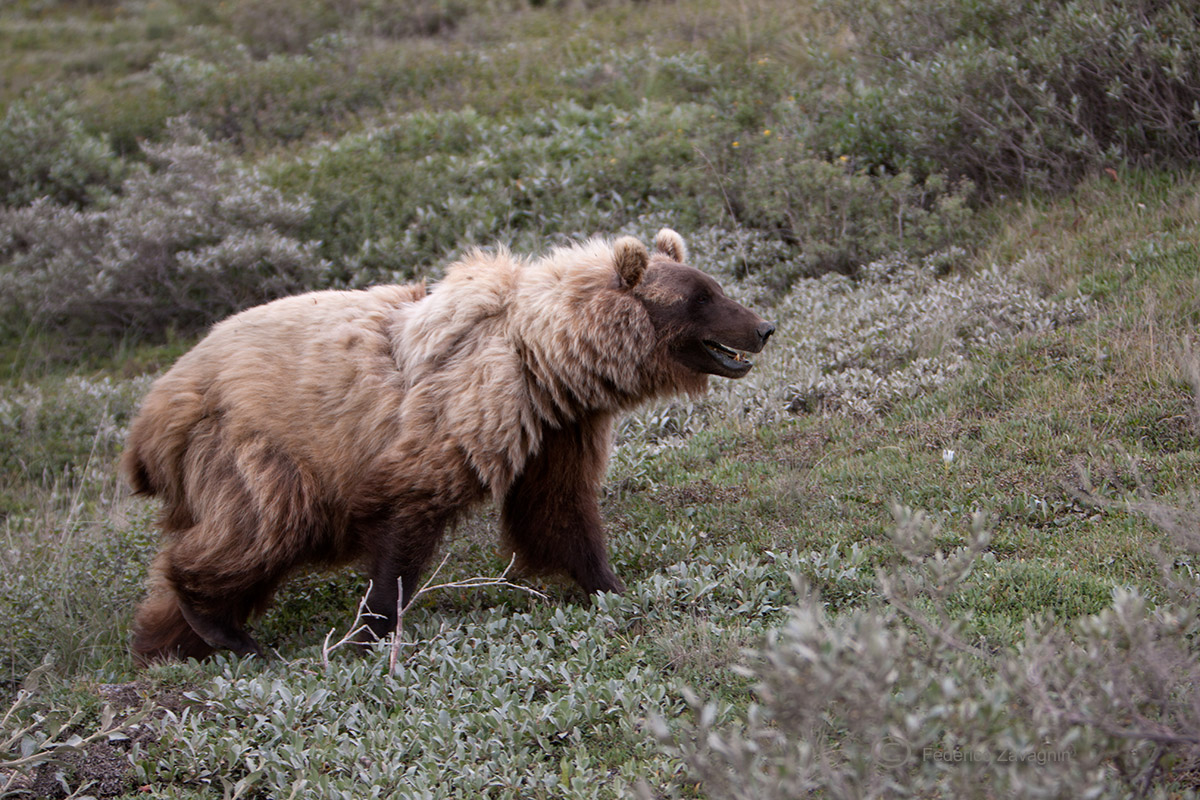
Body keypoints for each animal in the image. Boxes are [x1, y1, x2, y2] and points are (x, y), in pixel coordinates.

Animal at [122, 229, 775, 663]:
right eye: (701, 298)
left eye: (715, 286)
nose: (763, 327)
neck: (545, 360)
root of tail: (154, 412)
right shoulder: (462, 417)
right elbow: (410, 516)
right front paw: (371, 629)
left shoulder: (558, 431)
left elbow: (560, 511)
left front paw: (610, 584)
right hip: (261, 449)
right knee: (261, 530)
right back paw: (225, 630)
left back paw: (170, 639)